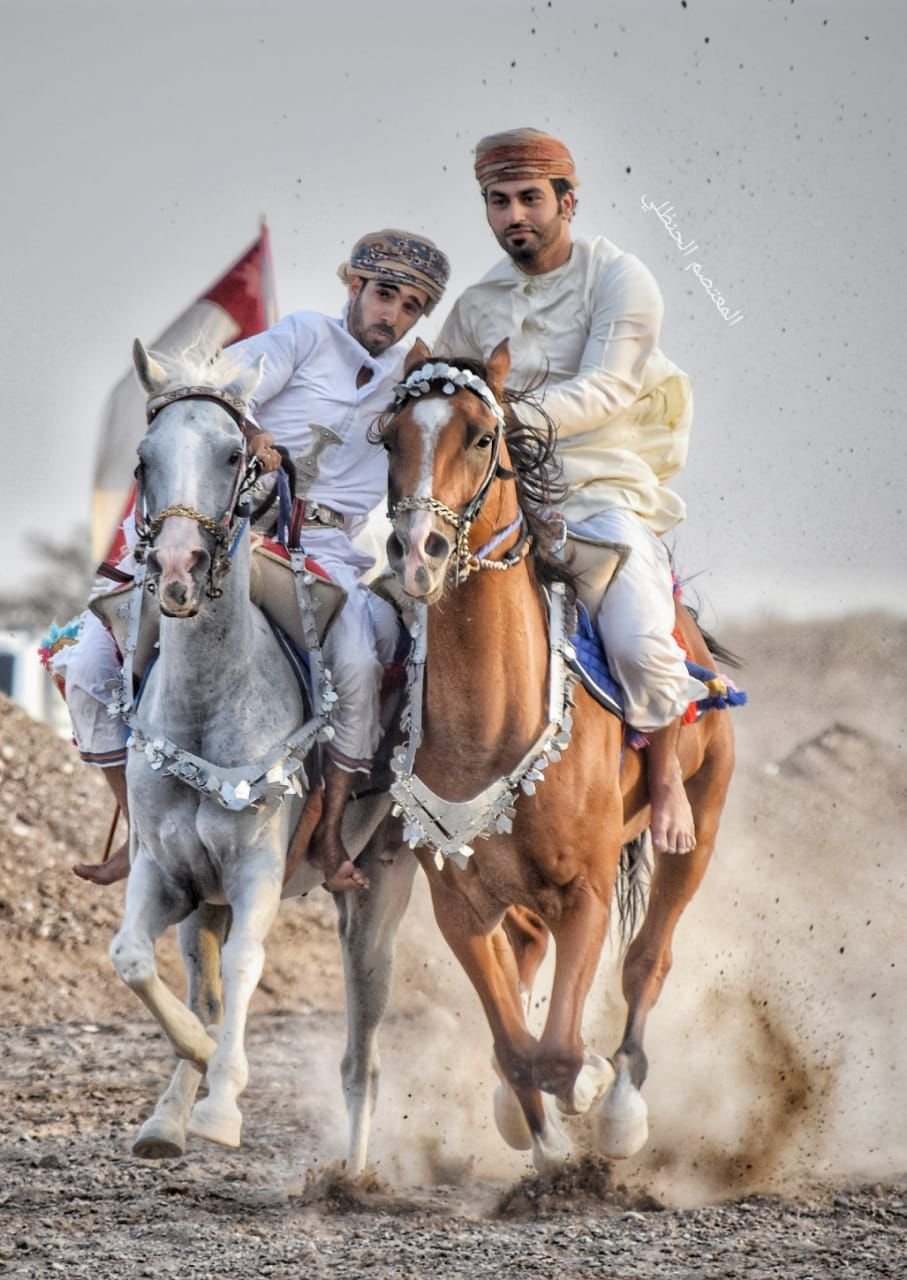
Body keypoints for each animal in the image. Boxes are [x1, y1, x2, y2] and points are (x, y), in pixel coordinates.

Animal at [107, 341, 410, 1170]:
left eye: (233, 454)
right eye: (142, 459)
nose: (177, 570)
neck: (206, 713)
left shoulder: (257, 870)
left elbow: (246, 961)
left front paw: (223, 1104)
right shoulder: (166, 872)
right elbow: (132, 958)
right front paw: (196, 1064)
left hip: (375, 894)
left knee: (364, 1041)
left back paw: (353, 1170)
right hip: (202, 902)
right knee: (197, 978)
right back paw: (167, 1117)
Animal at [375, 341, 737, 1171]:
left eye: (481, 437)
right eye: (388, 439)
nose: (418, 553)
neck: (487, 725)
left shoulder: (587, 892)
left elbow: (562, 1053)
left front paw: (591, 1099)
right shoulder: (459, 904)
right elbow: (515, 1047)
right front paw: (542, 1150)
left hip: (697, 833)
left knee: (646, 961)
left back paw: (624, 1106)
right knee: (530, 963)